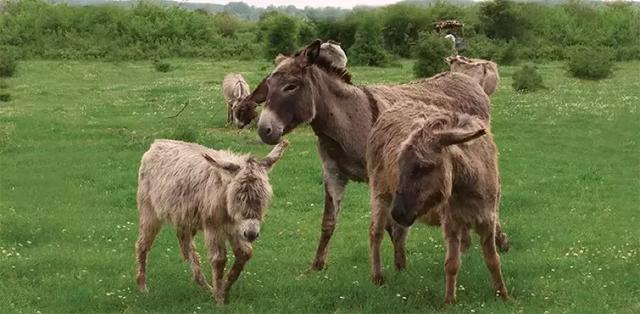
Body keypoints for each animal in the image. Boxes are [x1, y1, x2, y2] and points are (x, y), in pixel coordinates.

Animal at [135, 139, 288, 302]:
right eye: (238, 196)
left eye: (265, 197)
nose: (252, 234)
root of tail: (157, 143)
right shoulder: (213, 227)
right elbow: (219, 259)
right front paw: (219, 298)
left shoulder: (236, 228)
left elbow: (244, 253)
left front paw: (224, 289)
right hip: (149, 210)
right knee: (143, 244)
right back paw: (142, 286)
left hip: (184, 219)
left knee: (186, 246)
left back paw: (205, 286)